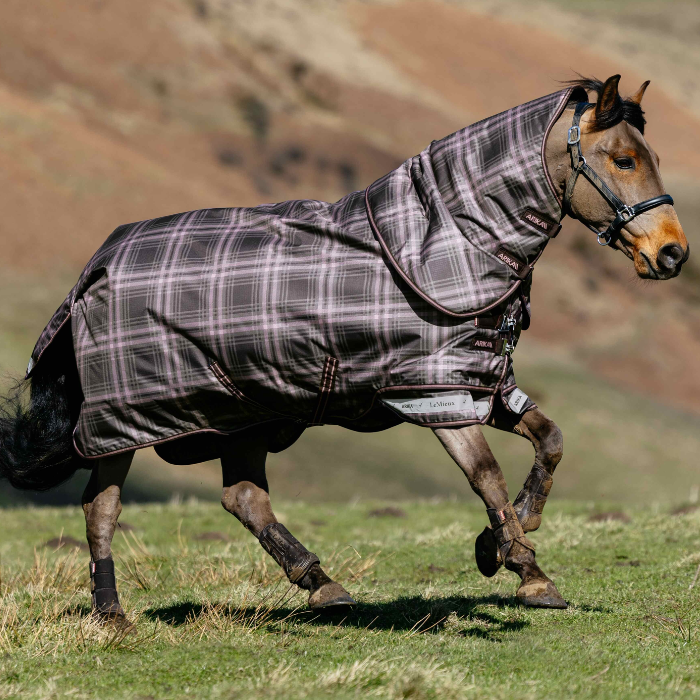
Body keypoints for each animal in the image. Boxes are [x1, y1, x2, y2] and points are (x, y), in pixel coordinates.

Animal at [0, 75, 687, 624]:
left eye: (650, 155)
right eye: (623, 160)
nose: (672, 254)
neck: (448, 242)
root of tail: (97, 267)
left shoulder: (483, 381)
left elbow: (551, 442)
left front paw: (502, 543)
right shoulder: (435, 393)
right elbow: (486, 476)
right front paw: (526, 568)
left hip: (246, 411)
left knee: (243, 497)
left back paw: (322, 585)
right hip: (127, 421)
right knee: (102, 507)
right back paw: (112, 614)